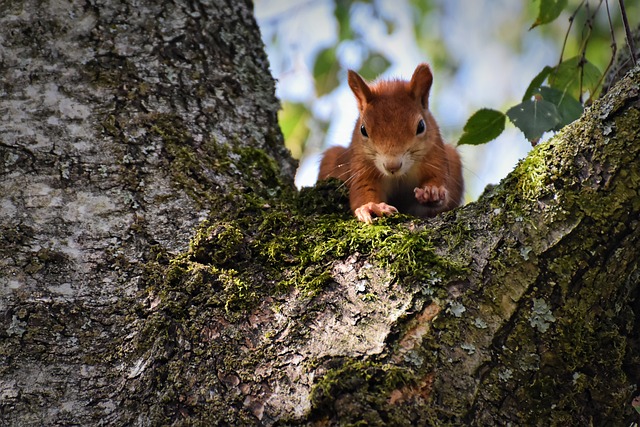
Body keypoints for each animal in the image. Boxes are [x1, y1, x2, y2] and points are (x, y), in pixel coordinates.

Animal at [318, 63, 462, 224]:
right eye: (363, 129)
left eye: (421, 126)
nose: (392, 166)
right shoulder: (361, 165)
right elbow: (363, 189)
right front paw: (370, 206)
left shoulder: (435, 155)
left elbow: (438, 179)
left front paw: (432, 192)